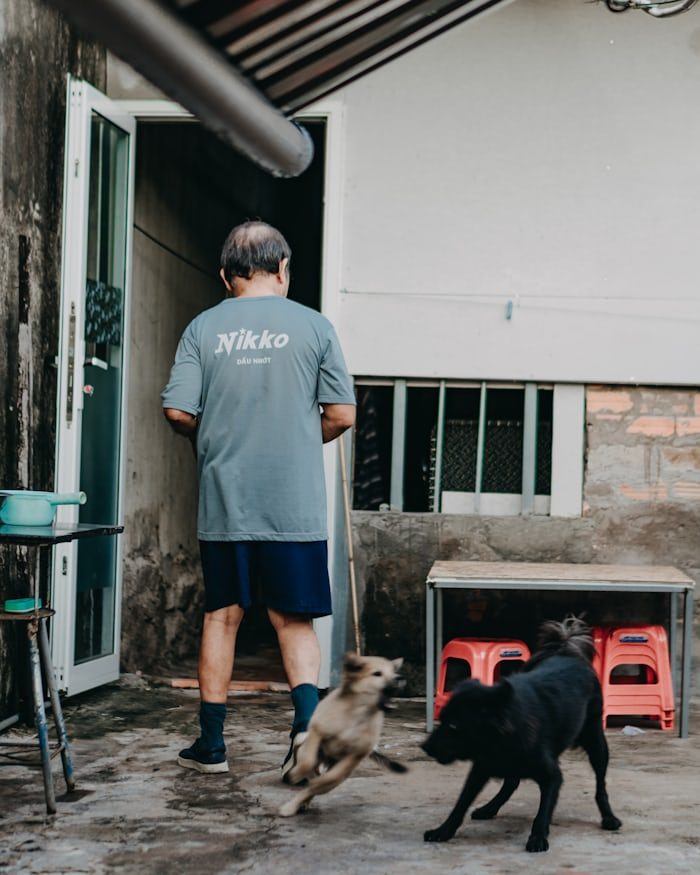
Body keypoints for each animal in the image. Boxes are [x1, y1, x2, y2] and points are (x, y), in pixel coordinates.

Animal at [279, 652, 407, 817]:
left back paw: (297, 803)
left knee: (313, 787)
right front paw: (295, 774)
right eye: (377, 673)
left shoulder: (355, 755)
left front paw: (318, 783)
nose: (399, 678)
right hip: (310, 745)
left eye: (394, 671)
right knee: (302, 754)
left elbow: (330, 779)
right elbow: (307, 761)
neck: (357, 713)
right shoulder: (317, 732)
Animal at [421, 616, 622, 852]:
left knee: (601, 785)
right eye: (442, 720)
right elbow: (461, 803)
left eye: (453, 725)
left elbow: (543, 810)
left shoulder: (552, 775)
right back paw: (489, 808)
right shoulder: (481, 767)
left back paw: (608, 817)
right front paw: (443, 830)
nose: (424, 747)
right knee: (511, 782)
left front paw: (538, 837)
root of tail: (567, 652)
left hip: (597, 744)